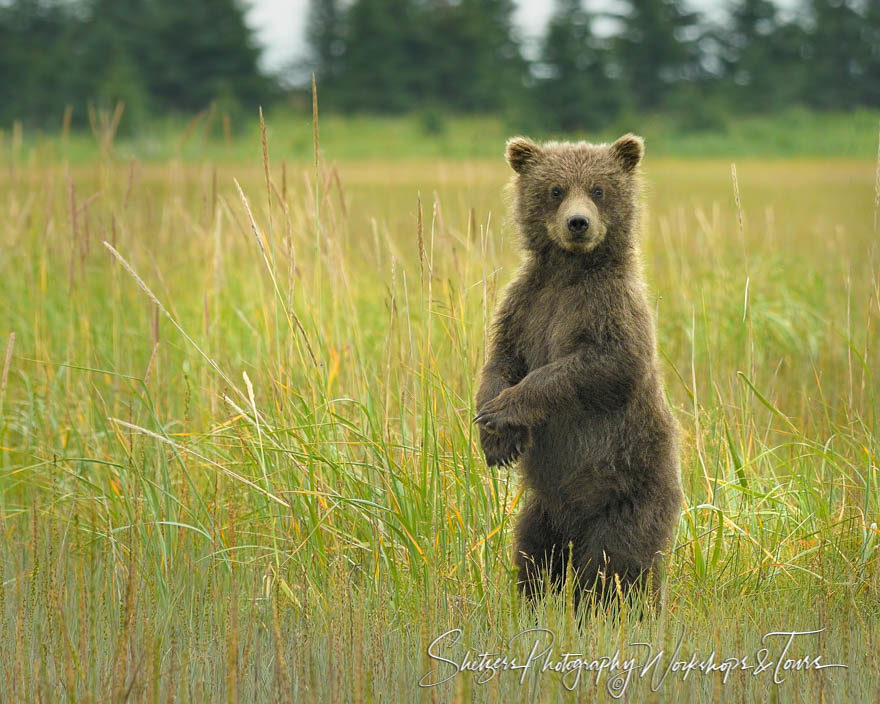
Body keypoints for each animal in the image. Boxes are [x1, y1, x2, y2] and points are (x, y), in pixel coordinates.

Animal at [474, 133, 680, 604]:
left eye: (599, 189)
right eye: (555, 190)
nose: (578, 223)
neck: (569, 271)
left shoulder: (609, 308)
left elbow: (601, 365)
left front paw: (503, 413)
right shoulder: (527, 303)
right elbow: (501, 358)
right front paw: (494, 435)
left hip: (628, 488)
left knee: (615, 565)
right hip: (543, 506)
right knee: (533, 553)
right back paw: (534, 599)